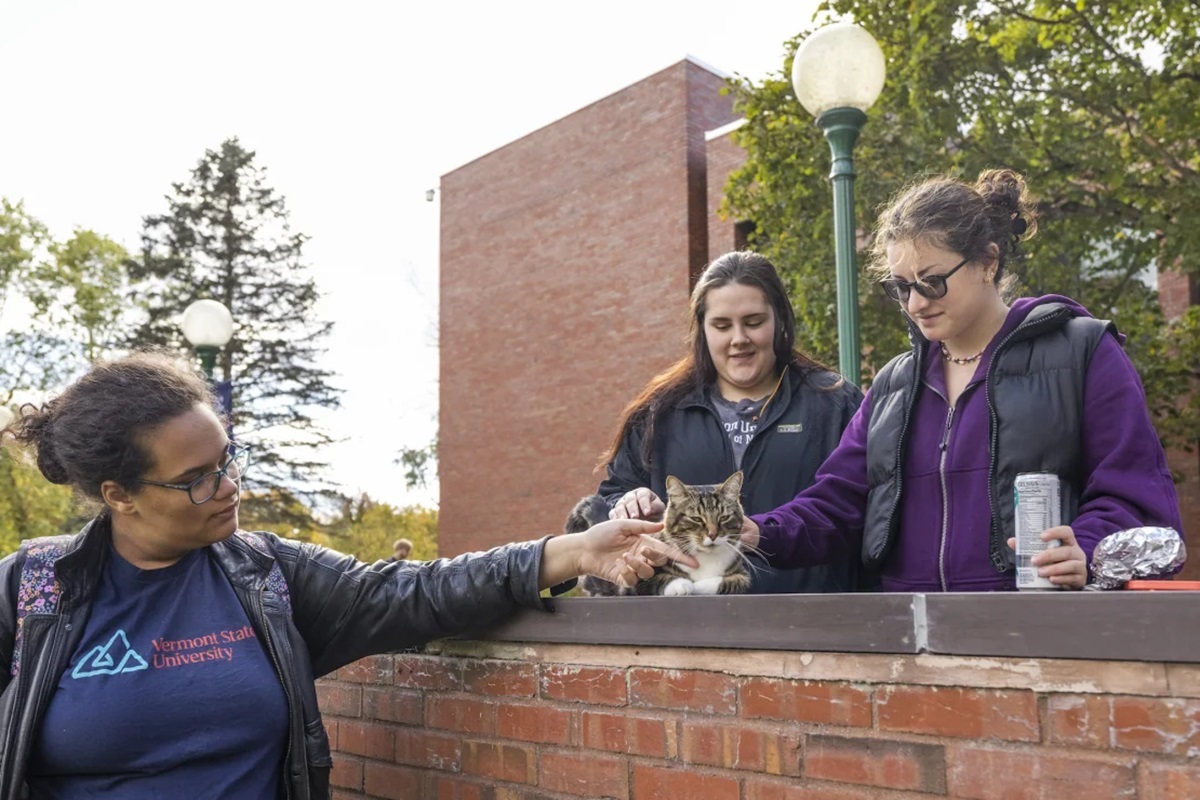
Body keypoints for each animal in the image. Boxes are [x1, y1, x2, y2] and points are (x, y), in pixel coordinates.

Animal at [564, 472, 748, 597]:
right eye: (696, 518)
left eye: (723, 517)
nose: (713, 534)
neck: (705, 558)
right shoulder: (637, 579)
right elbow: (658, 579)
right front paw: (683, 585)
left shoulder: (743, 577)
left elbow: (727, 582)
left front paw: (697, 586)